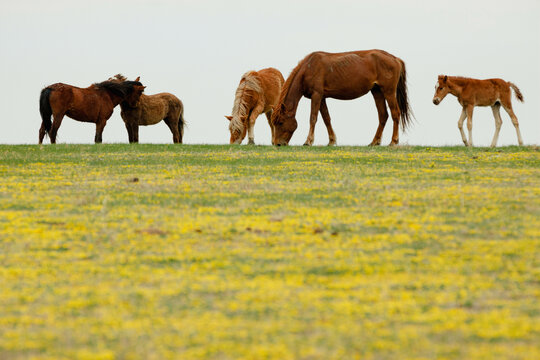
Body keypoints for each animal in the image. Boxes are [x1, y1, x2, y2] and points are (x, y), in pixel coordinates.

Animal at [270, 49, 414, 146]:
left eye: (281, 122)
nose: (278, 144)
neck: (309, 68)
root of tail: (395, 58)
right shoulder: (322, 98)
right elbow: (326, 118)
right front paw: (331, 141)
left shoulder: (316, 95)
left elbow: (313, 118)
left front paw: (308, 141)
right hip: (377, 92)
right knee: (383, 115)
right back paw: (374, 142)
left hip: (388, 92)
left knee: (395, 114)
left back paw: (393, 142)